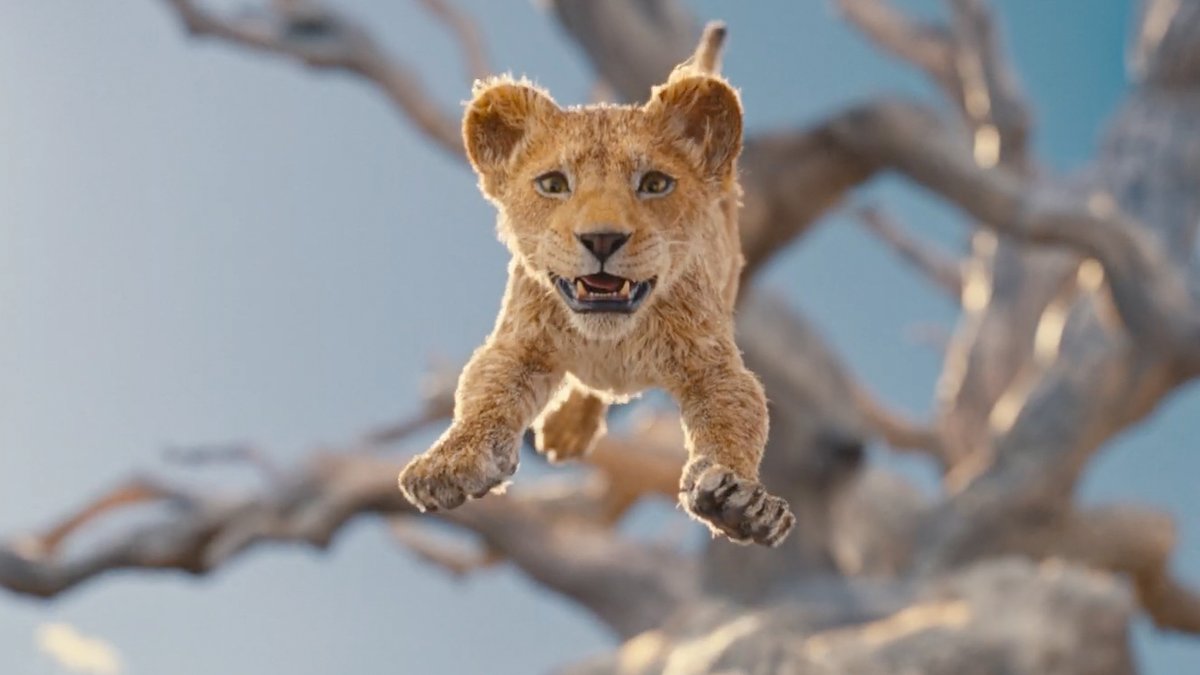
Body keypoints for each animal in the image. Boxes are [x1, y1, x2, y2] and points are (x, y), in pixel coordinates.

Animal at [397, 59, 795, 547]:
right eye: (553, 183)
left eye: (655, 183)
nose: (602, 239)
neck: (612, 340)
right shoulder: (518, 343)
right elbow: (484, 395)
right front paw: (449, 463)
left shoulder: (713, 365)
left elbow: (735, 419)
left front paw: (741, 501)